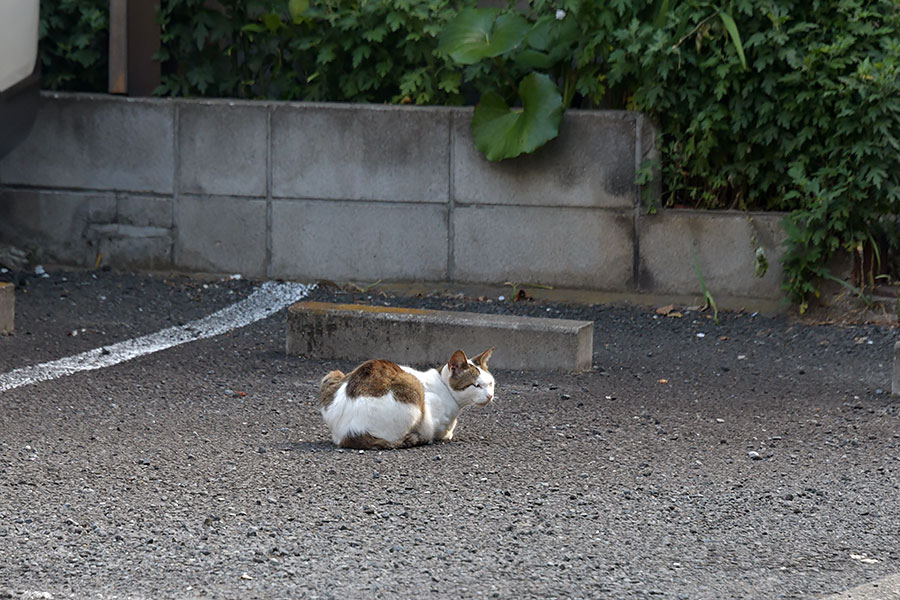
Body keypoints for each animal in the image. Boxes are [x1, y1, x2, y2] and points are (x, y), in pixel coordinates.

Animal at [318, 346, 500, 450]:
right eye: (476, 385)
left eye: (491, 383)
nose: (490, 396)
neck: (443, 386)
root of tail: (347, 434)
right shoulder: (432, 411)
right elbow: (442, 430)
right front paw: (446, 433)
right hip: (414, 392)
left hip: (332, 375)